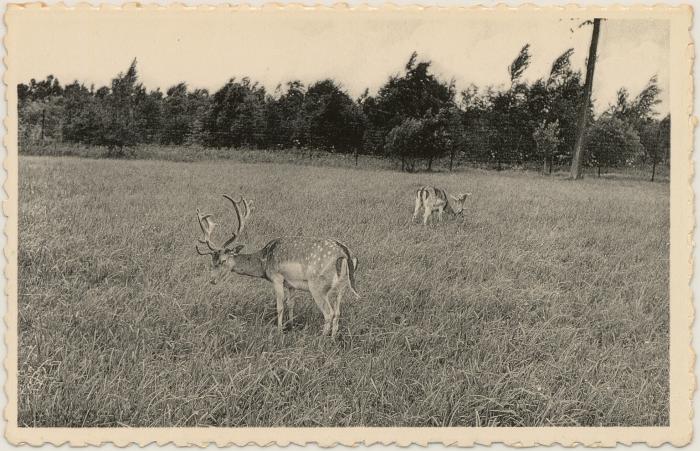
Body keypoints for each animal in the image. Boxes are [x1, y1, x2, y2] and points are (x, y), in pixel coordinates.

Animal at [197, 195, 360, 340]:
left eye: (223, 260)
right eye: (212, 260)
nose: (212, 280)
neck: (264, 262)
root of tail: (345, 252)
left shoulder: (277, 277)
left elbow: (279, 306)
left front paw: (279, 330)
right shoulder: (291, 284)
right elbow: (291, 304)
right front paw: (291, 325)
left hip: (318, 285)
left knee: (329, 313)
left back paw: (321, 338)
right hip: (342, 286)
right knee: (337, 312)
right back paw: (332, 338)